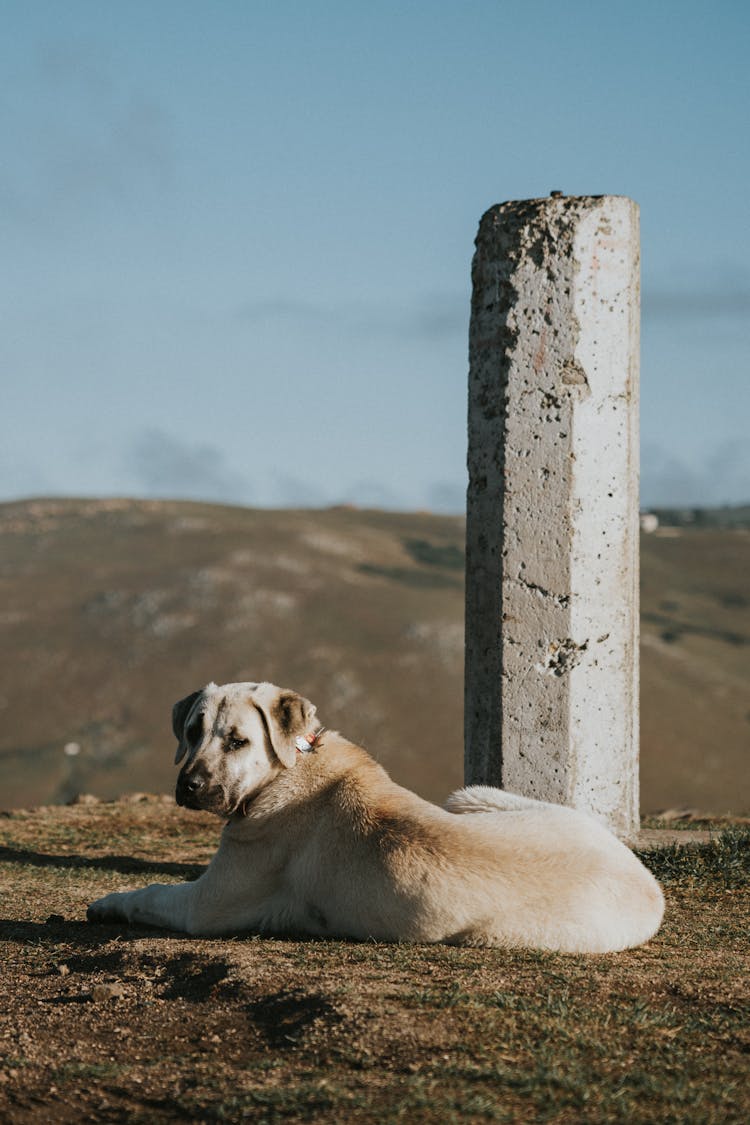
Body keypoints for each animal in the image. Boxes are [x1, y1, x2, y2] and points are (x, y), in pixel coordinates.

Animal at [84, 679, 665, 954]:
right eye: (191, 732)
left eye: (236, 741)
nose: (189, 786)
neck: (291, 766)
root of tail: (650, 887)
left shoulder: (204, 905)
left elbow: (151, 892)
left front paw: (108, 903)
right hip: (472, 796)